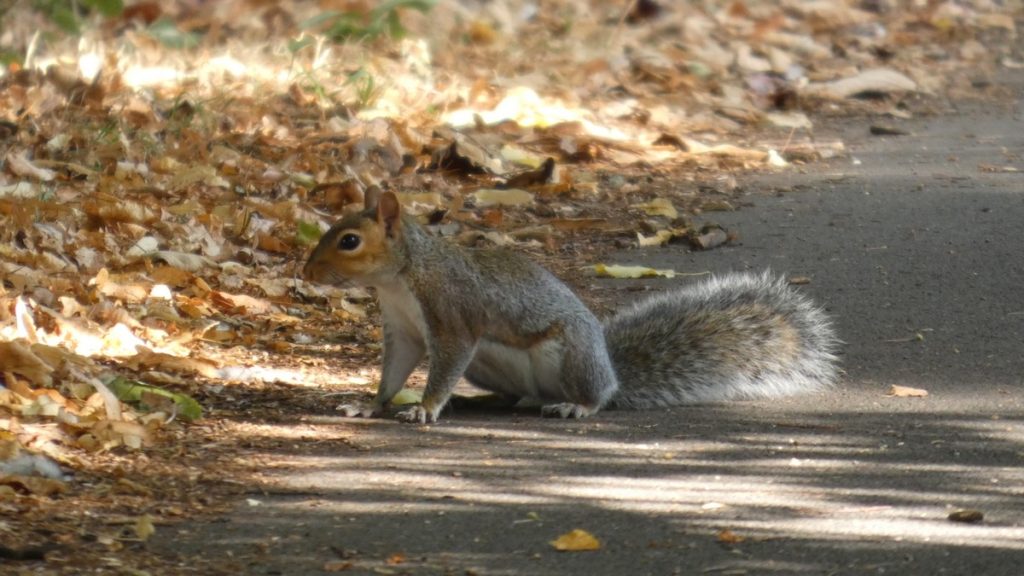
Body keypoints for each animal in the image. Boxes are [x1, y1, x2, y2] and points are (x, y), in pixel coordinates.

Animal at [303, 188, 839, 424]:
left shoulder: (453, 317)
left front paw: (426, 407)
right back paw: (489, 399)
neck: (403, 277)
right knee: (517, 395)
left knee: (592, 395)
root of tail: (613, 372)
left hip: (570, 355)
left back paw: (575, 405)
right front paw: (370, 404)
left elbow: (445, 362)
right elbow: (395, 371)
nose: (307, 272)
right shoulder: (404, 329)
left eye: (349, 240)